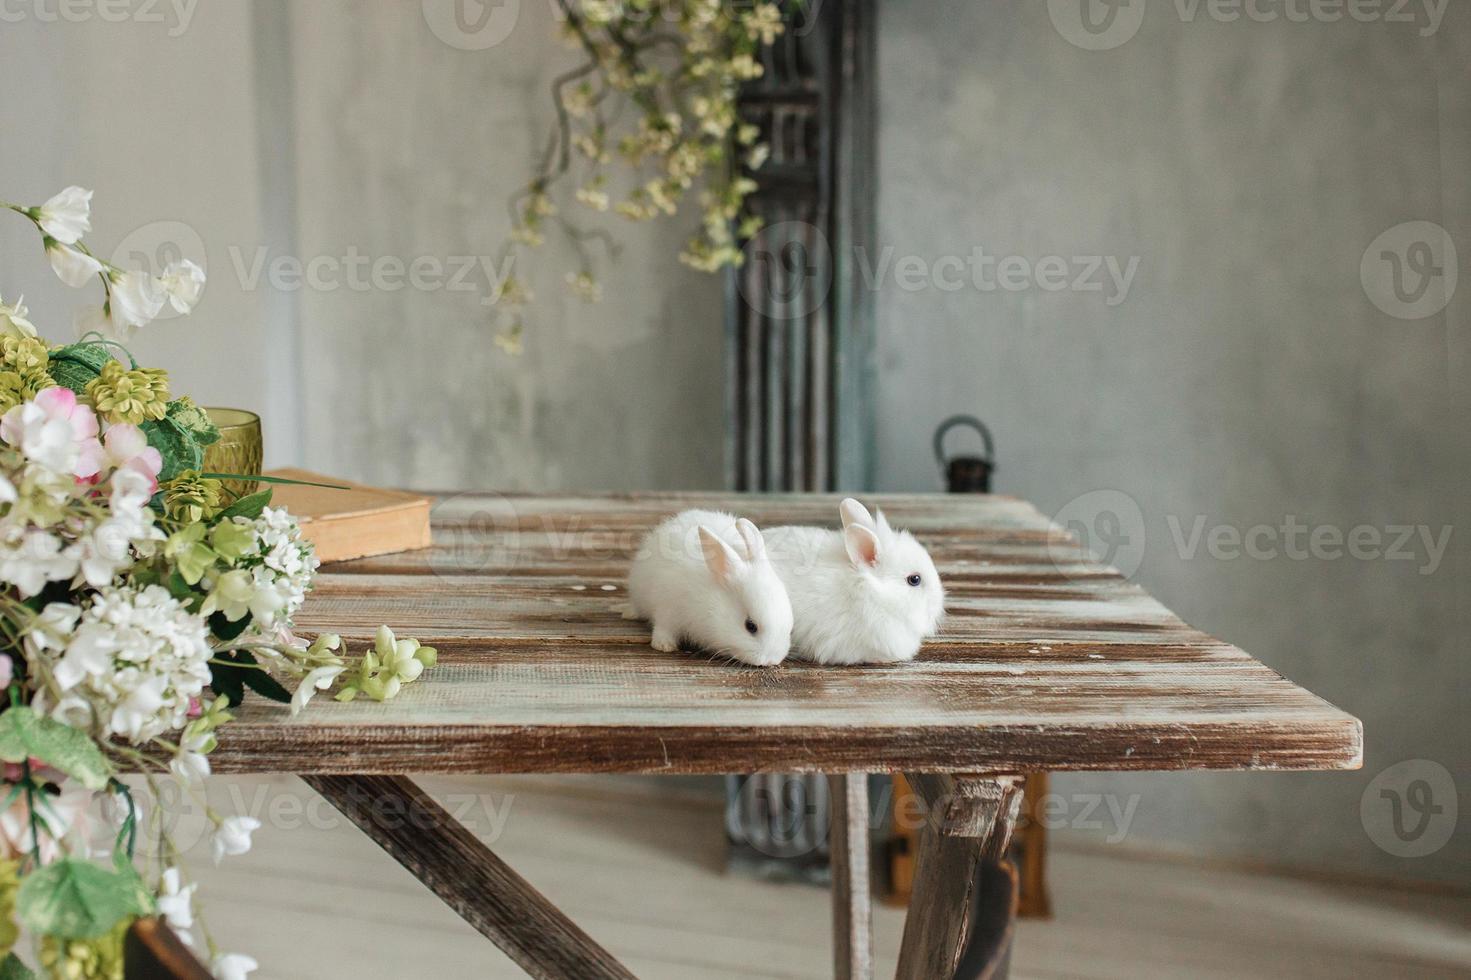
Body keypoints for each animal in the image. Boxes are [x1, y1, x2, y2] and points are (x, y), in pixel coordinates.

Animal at [629, 512, 800, 665]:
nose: (771, 660)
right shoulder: (667, 606)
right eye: (750, 626)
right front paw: (664, 645)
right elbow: (663, 627)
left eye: (790, 629)